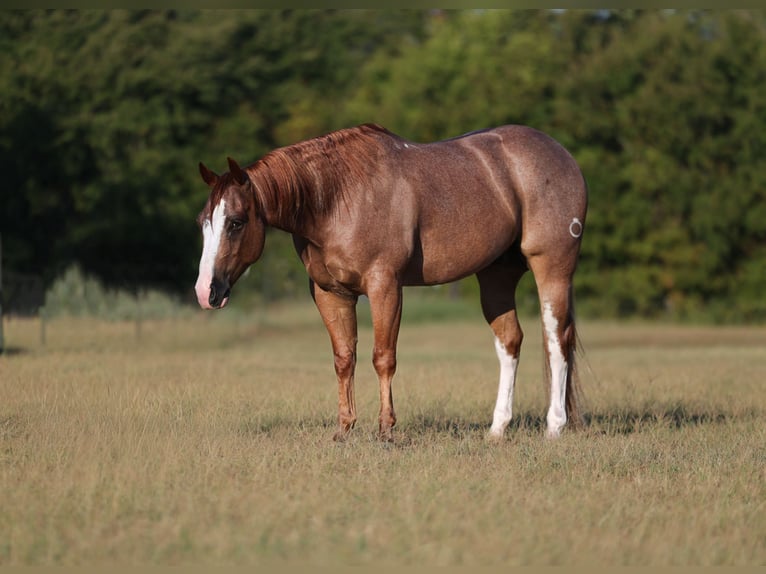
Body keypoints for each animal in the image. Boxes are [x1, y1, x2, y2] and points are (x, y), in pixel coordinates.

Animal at [194, 123, 587, 442]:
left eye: (236, 222)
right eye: (204, 221)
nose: (205, 291)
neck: (337, 199)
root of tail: (563, 155)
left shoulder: (384, 287)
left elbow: (383, 358)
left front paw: (386, 430)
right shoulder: (330, 294)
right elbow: (344, 359)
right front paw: (344, 429)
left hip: (552, 267)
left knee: (556, 339)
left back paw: (555, 426)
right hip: (496, 277)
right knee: (510, 342)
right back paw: (497, 429)